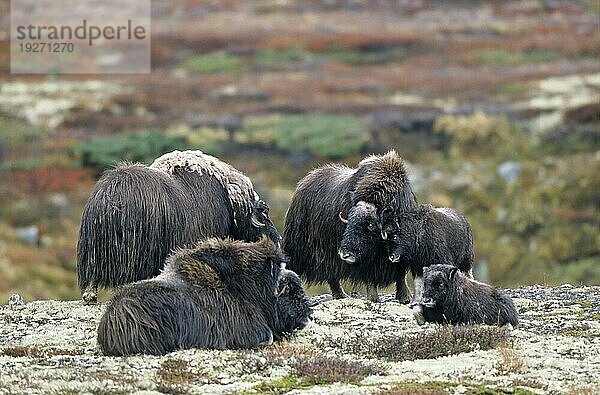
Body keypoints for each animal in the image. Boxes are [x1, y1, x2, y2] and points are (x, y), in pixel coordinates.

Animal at [77, 150, 278, 304]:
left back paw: (89, 296)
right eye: (264, 213)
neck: (230, 201)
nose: (277, 239)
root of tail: (111, 198)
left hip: (92, 248)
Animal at [282, 152, 414, 304]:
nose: (345, 254)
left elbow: (401, 274)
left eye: (370, 225)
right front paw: (374, 299)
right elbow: (370, 276)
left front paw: (405, 298)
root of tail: (304, 181)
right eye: (349, 219)